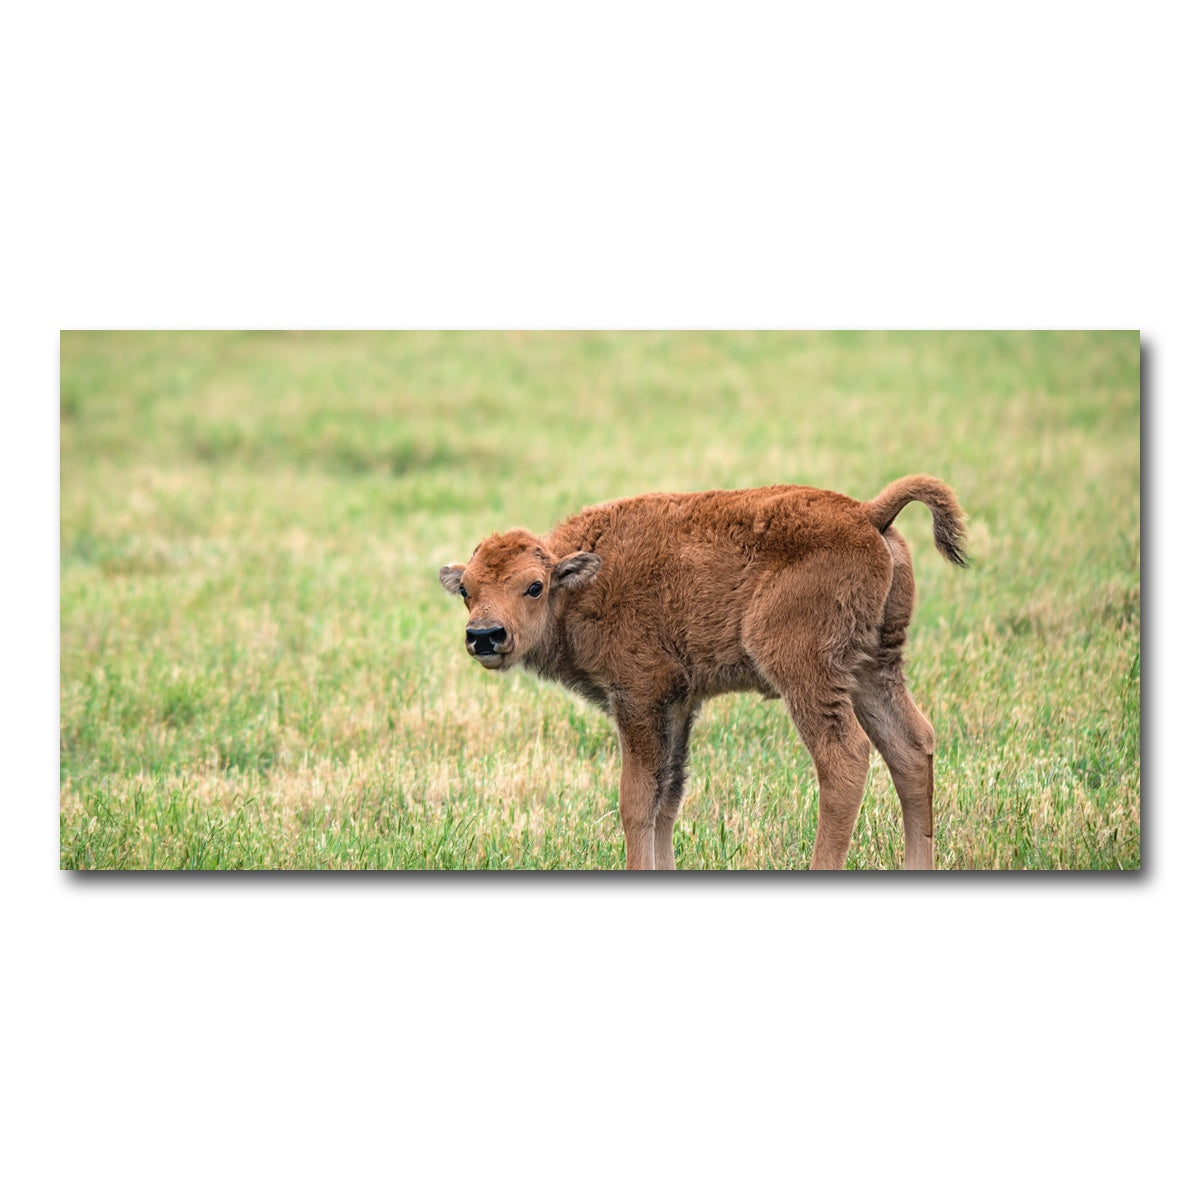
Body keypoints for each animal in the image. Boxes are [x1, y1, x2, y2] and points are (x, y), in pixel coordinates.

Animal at [439, 475, 967, 870]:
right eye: (466, 589)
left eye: (534, 586)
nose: (485, 635)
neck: (580, 582)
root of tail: (867, 513)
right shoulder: (678, 704)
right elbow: (667, 797)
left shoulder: (639, 697)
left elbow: (637, 800)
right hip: (873, 668)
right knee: (910, 746)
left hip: (809, 674)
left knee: (844, 758)